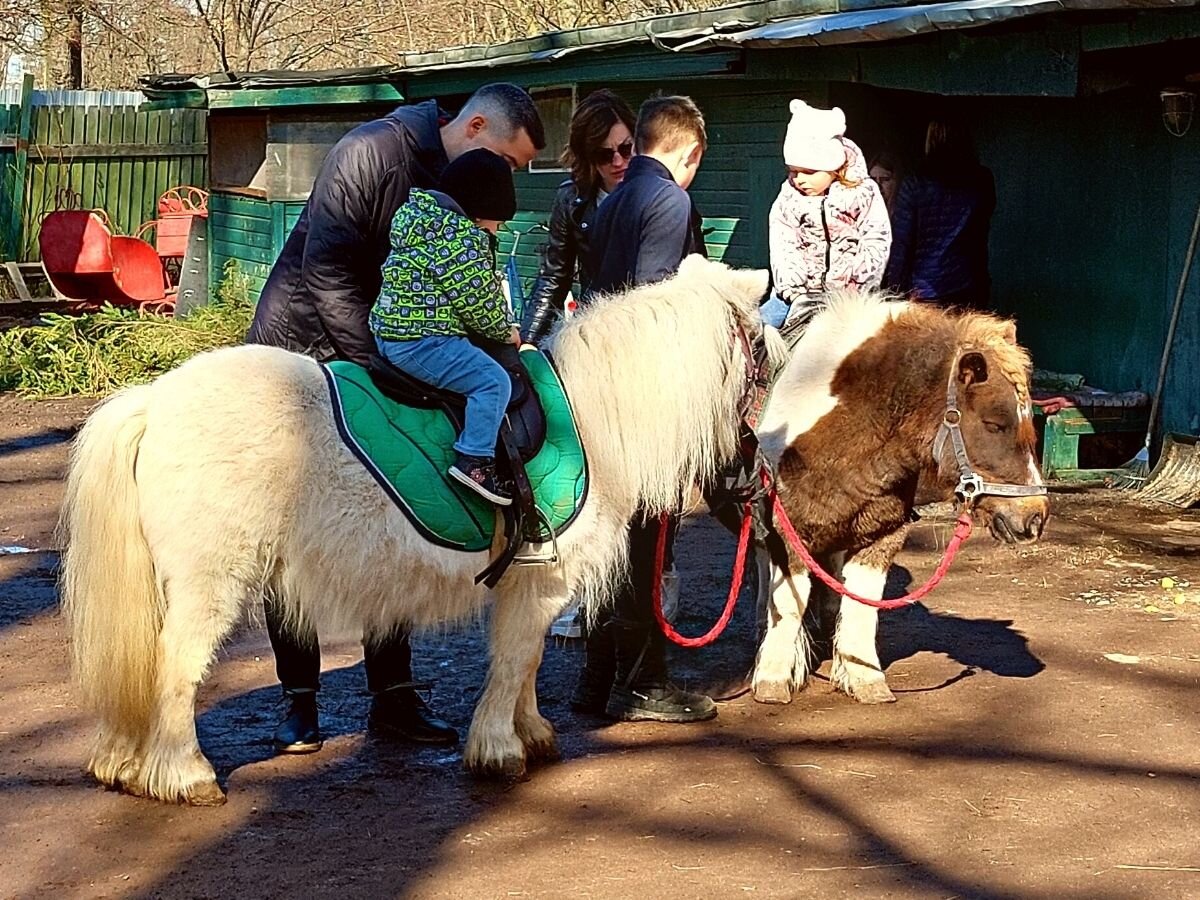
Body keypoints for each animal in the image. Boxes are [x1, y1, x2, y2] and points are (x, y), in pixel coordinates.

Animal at [58, 255, 768, 811]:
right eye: (764, 354)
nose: (757, 480)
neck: (593, 420)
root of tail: (153, 401)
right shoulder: (543, 581)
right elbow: (514, 660)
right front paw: (500, 751)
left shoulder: (527, 587)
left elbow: (527, 661)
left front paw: (533, 734)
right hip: (211, 583)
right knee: (176, 665)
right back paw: (185, 775)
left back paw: (124, 764)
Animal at [758, 292, 1051, 710]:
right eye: (994, 423)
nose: (1034, 518)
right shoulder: (787, 530)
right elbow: (788, 603)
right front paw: (774, 679)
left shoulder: (881, 534)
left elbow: (862, 606)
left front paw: (864, 678)